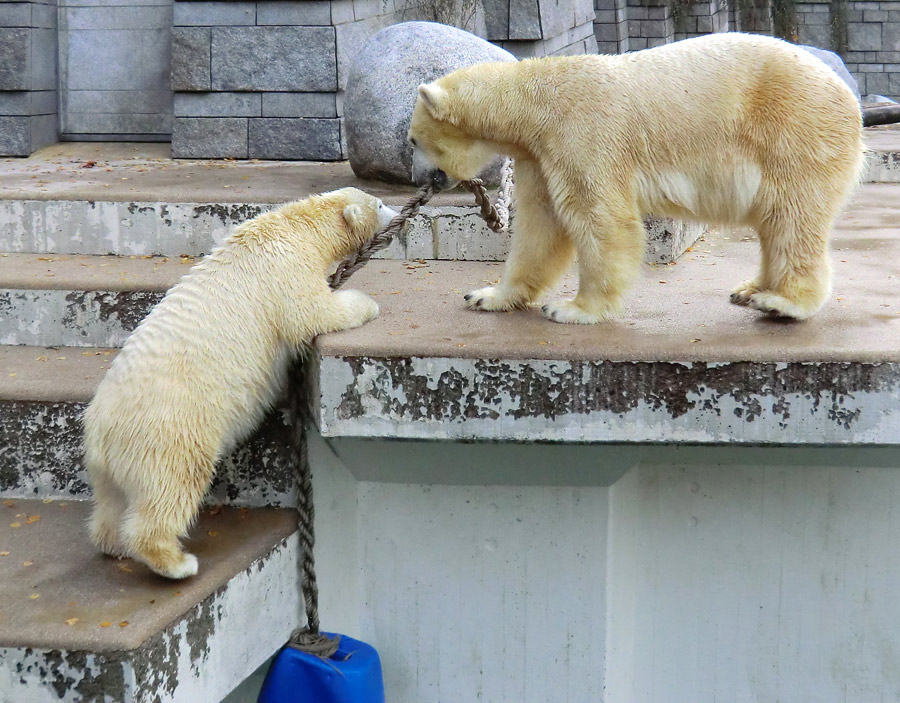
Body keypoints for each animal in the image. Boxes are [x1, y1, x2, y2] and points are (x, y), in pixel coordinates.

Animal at [83, 187, 394, 576]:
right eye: (379, 204)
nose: (396, 212)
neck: (296, 228)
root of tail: (101, 430)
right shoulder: (286, 269)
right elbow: (312, 312)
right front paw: (367, 303)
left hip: (110, 460)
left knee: (111, 500)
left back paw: (114, 545)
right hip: (168, 433)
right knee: (172, 487)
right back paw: (175, 562)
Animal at [408, 30, 864, 322]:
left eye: (413, 139)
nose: (418, 179)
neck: (537, 101)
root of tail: (848, 95)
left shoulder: (582, 133)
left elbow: (600, 219)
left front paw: (573, 309)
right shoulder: (540, 156)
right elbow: (540, 227)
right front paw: (486, 295)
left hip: (795, 132)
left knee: (792, 216)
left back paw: (783, 303)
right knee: (776, 222)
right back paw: (750, 289)